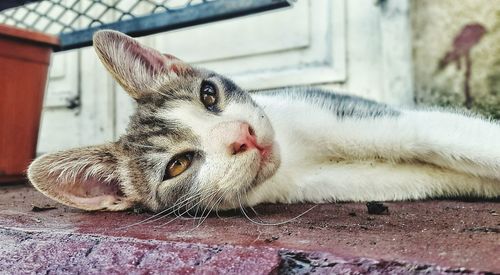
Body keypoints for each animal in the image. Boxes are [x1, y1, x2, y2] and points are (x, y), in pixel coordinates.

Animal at [26, 30, 500, 216]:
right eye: (177, 165)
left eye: (209, 95)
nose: (243, 135)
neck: (299, 157)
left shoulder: (364, 116)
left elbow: (454, 137)